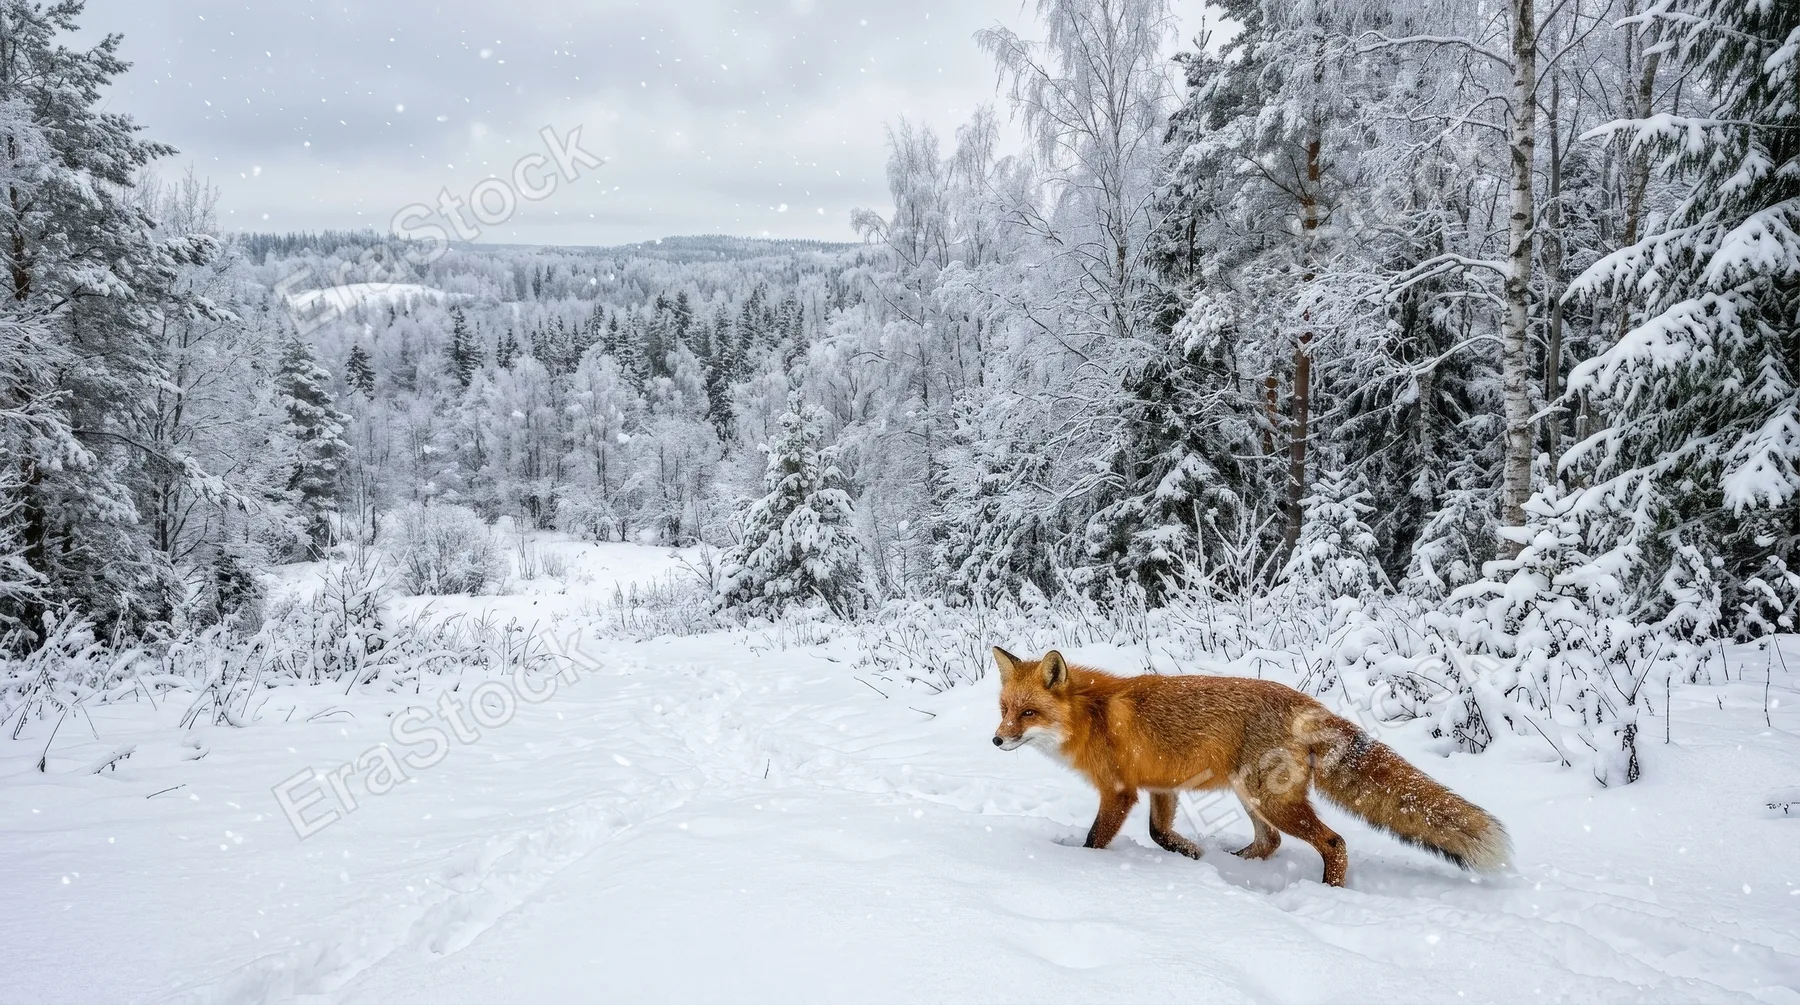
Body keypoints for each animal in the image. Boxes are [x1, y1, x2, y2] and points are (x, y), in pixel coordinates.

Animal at [990, 647, 1510, 887]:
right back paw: (1231, 862)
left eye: (1029, 713)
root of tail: (1309, 703)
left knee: (1333, 842)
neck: (1090, 716)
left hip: (1270, 798)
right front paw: (1191, 853)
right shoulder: (1162, 786)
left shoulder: (1119, 792)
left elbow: (1095, 840)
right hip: (1250, 796)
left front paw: (1082, 866)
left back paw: (1330, 892)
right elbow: (1160, 834)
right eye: (1004, 709)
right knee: (1269, 843)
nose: (996, 740)